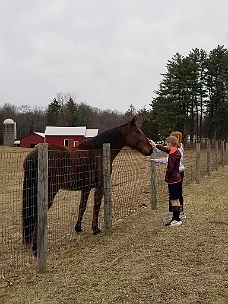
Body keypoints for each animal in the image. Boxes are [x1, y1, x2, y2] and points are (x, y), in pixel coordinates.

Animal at [22, 116, 152, 254]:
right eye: (138, 131)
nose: (150, 149)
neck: (99, 151)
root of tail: (34, 155)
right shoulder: (100, 187)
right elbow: (96, 206)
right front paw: (95, 228)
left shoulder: (86, 188)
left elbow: (82, 207)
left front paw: (78, 227)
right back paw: (36, 247)